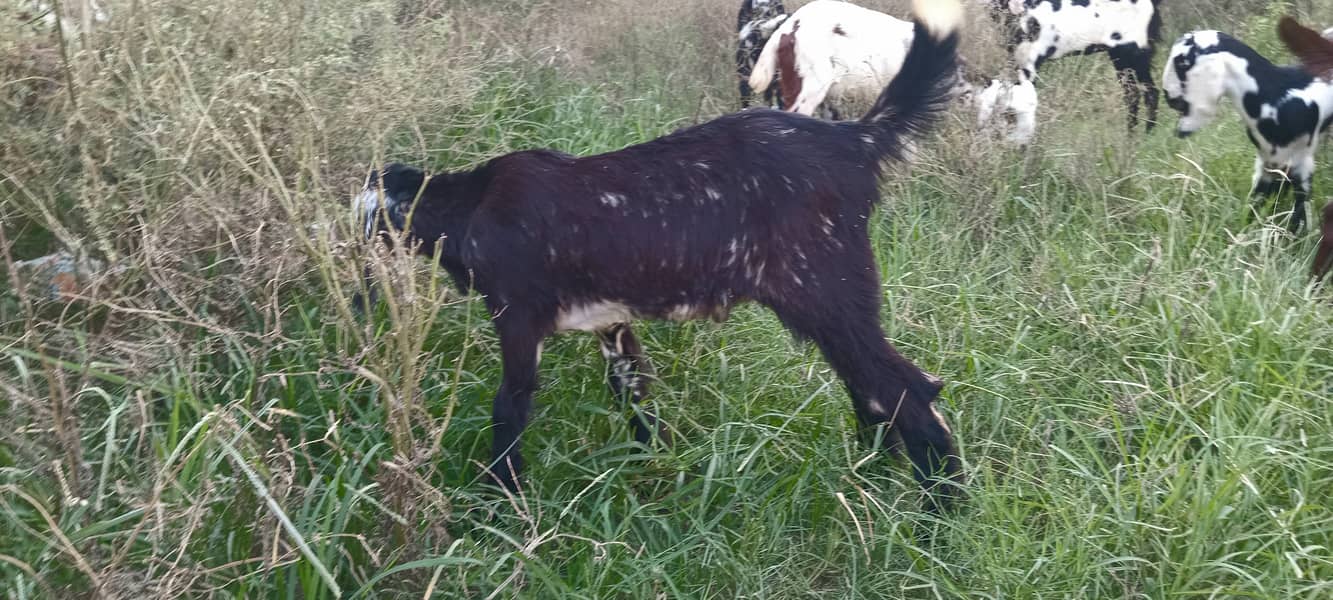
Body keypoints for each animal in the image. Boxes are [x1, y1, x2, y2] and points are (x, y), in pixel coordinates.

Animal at [1002, 0, 1162, 140]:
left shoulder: (1029, 62)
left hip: (1135, 54)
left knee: (1149, 93)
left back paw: (1146, 137)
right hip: (1121, 58)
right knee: (1133, 94)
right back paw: (1132, 138)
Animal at [1167, 29, 1333, 232]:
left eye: (1182, 62)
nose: (1169, 97)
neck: (1274, 96)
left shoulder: (1302, 163)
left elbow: (1300, 212)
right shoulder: (1268, 161)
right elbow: (1257, 203)